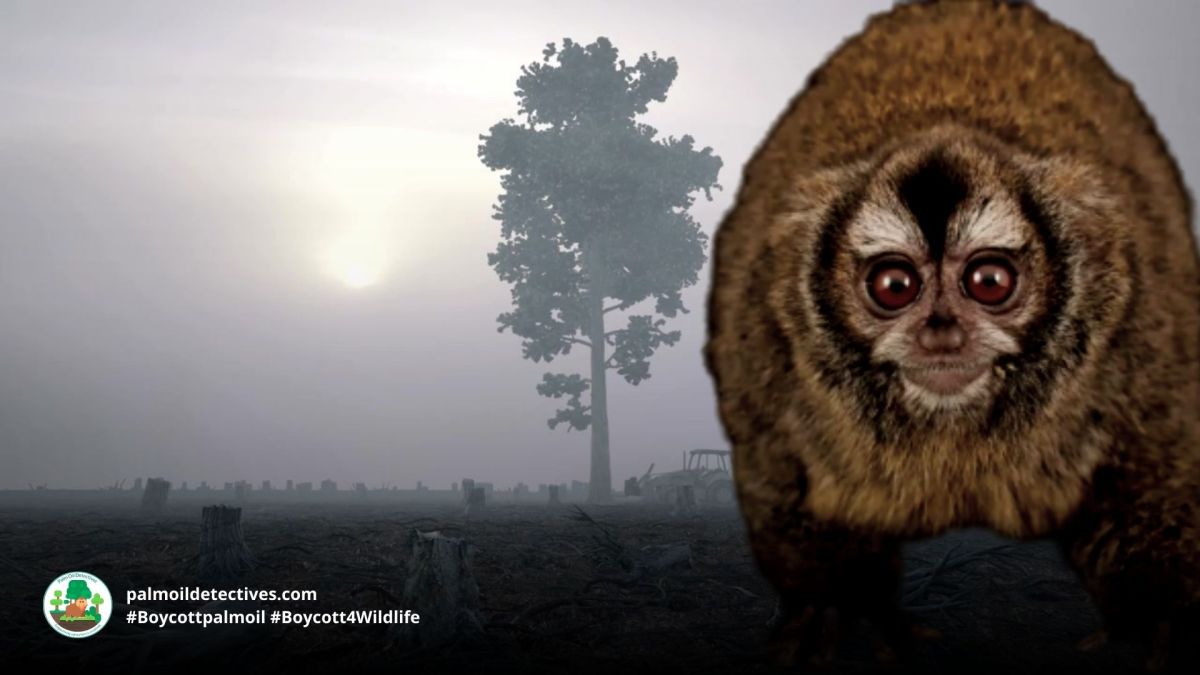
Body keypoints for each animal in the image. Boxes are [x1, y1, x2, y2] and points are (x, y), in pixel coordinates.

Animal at [704, 0, 1200, 669]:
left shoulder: (1145, 330)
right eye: (894, 285)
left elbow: (1156, 466)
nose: (941, 332)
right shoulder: (763, 333)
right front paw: (840, 602)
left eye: (989, 281)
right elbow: (777, 465)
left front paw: (1154, 614)